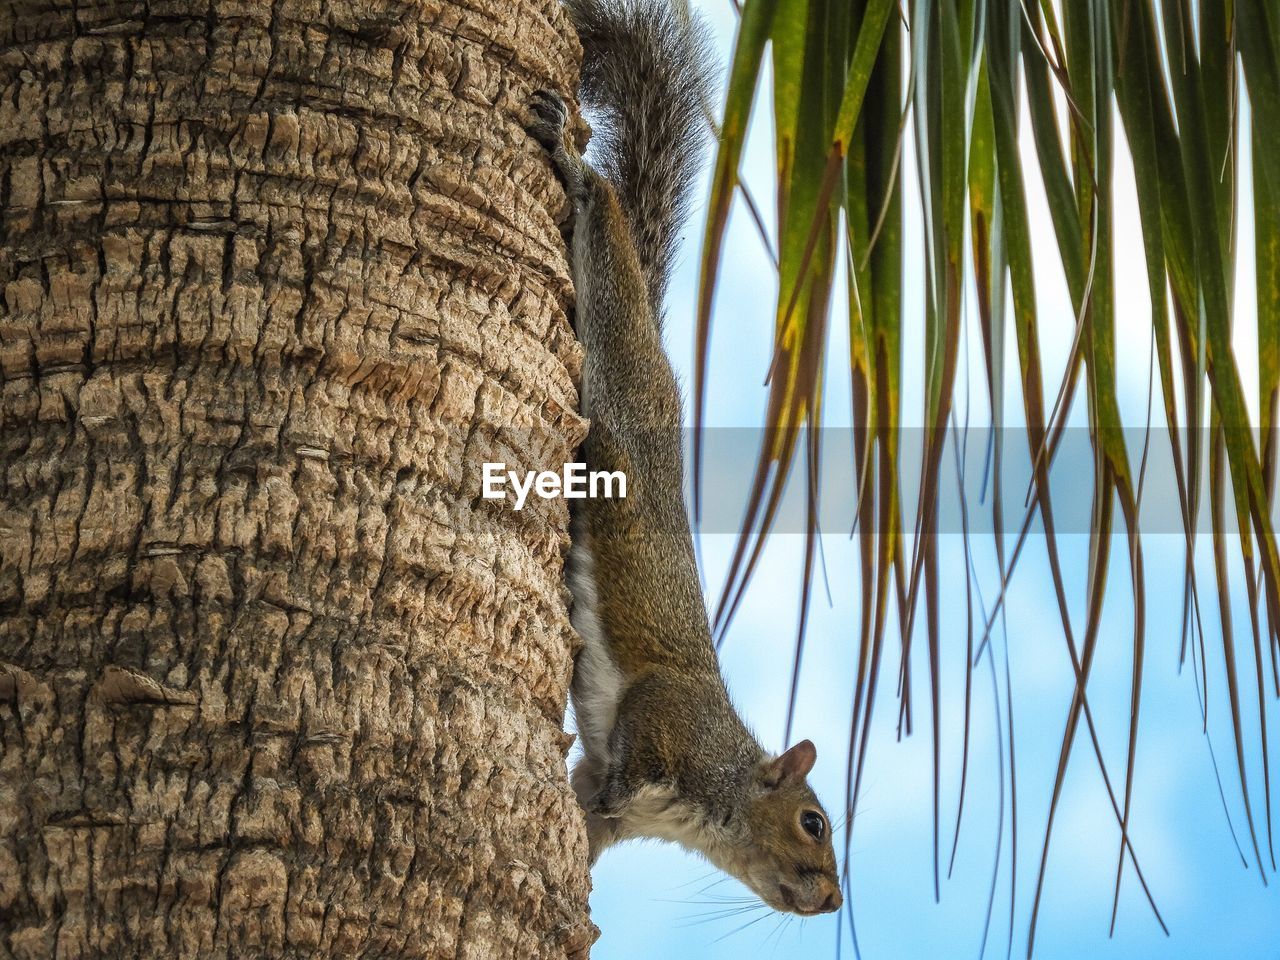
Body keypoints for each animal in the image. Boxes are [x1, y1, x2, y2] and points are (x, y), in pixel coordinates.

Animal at [524, 0, 844, 921]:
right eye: (813, 822)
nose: (832, 902)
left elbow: (591, 815)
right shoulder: (666, 720)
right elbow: (631, 740)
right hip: (620, 373)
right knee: (601, 225)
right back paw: (574, 161)